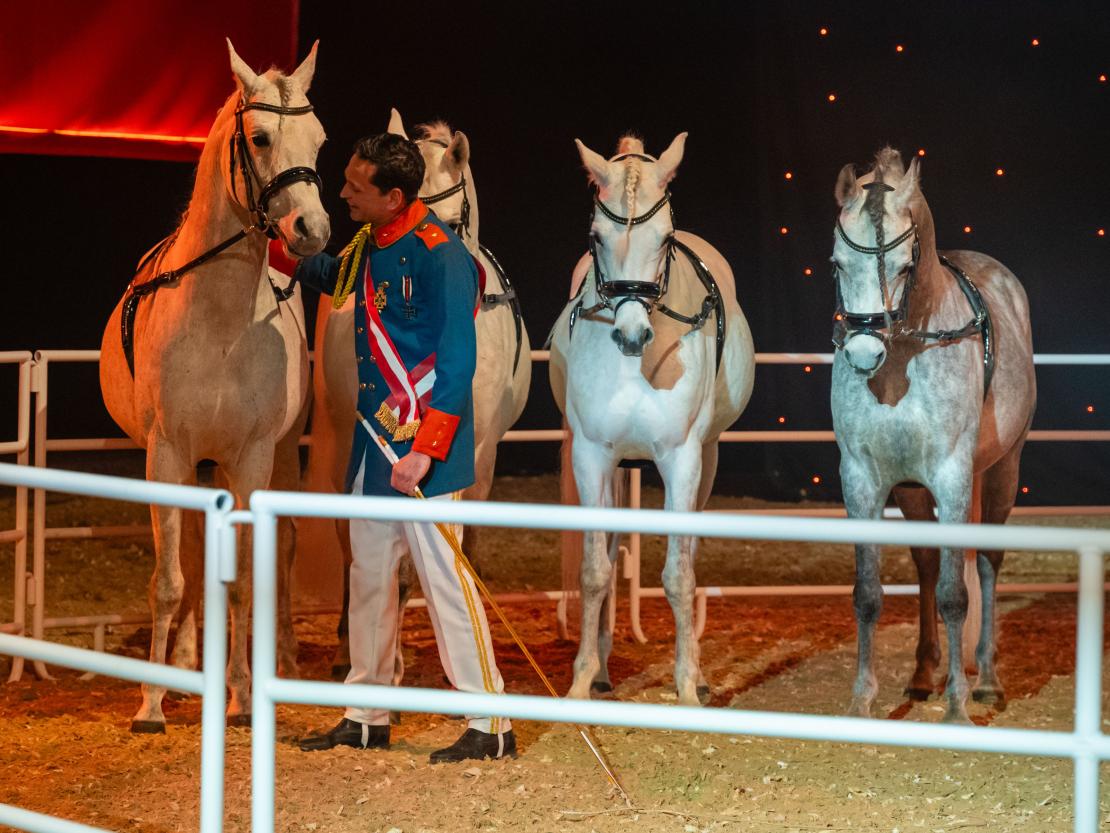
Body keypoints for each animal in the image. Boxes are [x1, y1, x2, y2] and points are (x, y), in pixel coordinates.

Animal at [99, 41, 329, 731]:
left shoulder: (251, 459)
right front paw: (151, 703)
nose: (313, 229)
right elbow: (170, 580)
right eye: (259, 137)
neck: (221, 323)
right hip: (193, 466)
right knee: (194, 557)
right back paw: (181, 664)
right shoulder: (167, 454)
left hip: (267, 459)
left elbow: (248, 578)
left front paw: (244, 696)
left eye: (319, 139)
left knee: (277, 549)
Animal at [549, 134, 755, 705]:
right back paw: (600, 668)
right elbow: (595, 570)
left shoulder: (683, 459)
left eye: (664, 240)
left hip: (707, 459)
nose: (631, 334)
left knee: (689, 553)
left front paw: (686, 686)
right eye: (596, 237)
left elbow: (679, 575)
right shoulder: (593, 455)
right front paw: (580, 680)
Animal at [829, 147, 1035, 724]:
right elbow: (868, 592)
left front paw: (958, 708)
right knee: (923, 565)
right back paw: (924, 674)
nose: (863, 355)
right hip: (912, 491)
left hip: (1002, 472)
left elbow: (953, 595)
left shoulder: (952, 477)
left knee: (985, 565)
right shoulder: (864, 480)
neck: (903, 357)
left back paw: (985, 679)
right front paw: (861, 699)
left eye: (904, 266)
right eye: (837, 264)